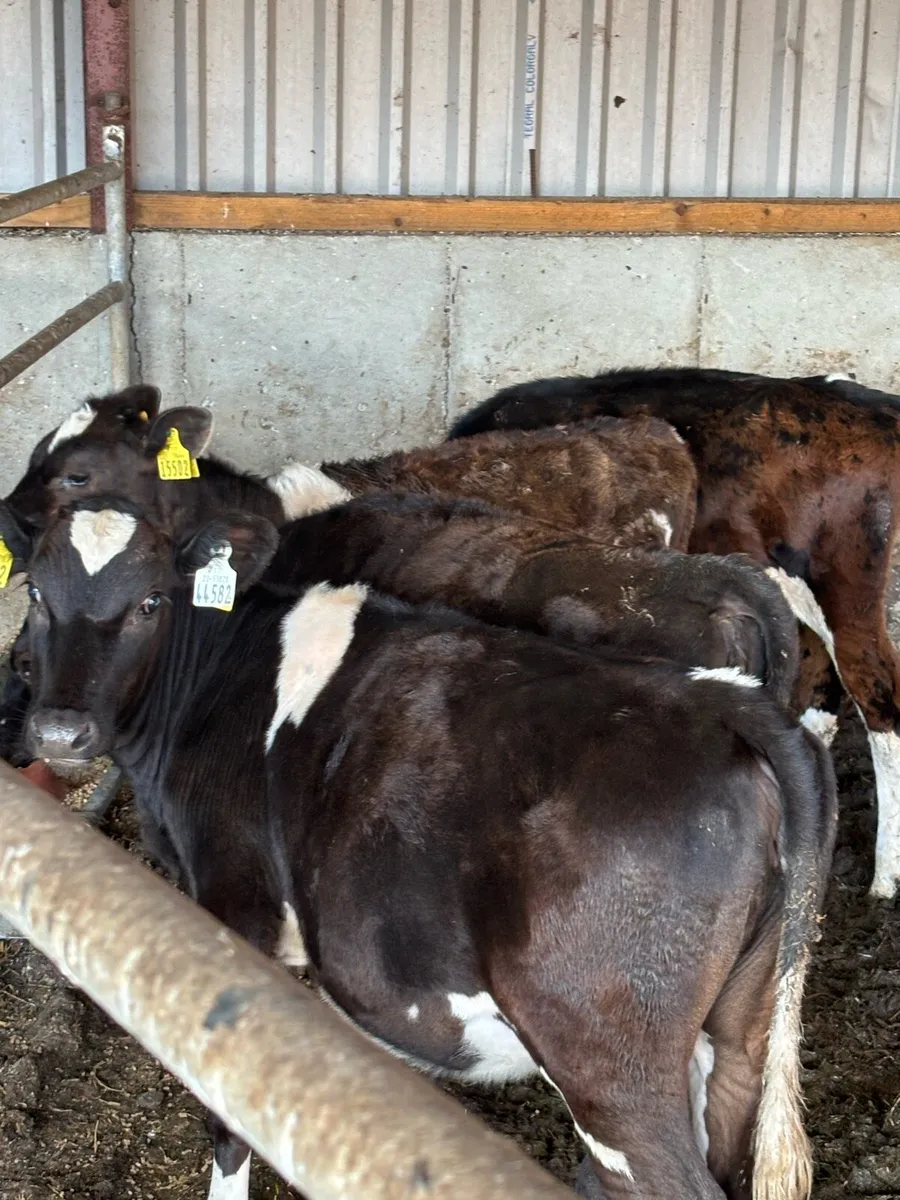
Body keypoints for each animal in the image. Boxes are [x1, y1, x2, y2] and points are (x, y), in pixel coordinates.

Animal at [3, 491, 836, 1200]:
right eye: (36, 593)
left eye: (151, 602)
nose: (59, 732)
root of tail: (714, 697)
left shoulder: (235, 907)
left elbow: (231, 1109)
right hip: (739, 1038)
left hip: (610, 1064)